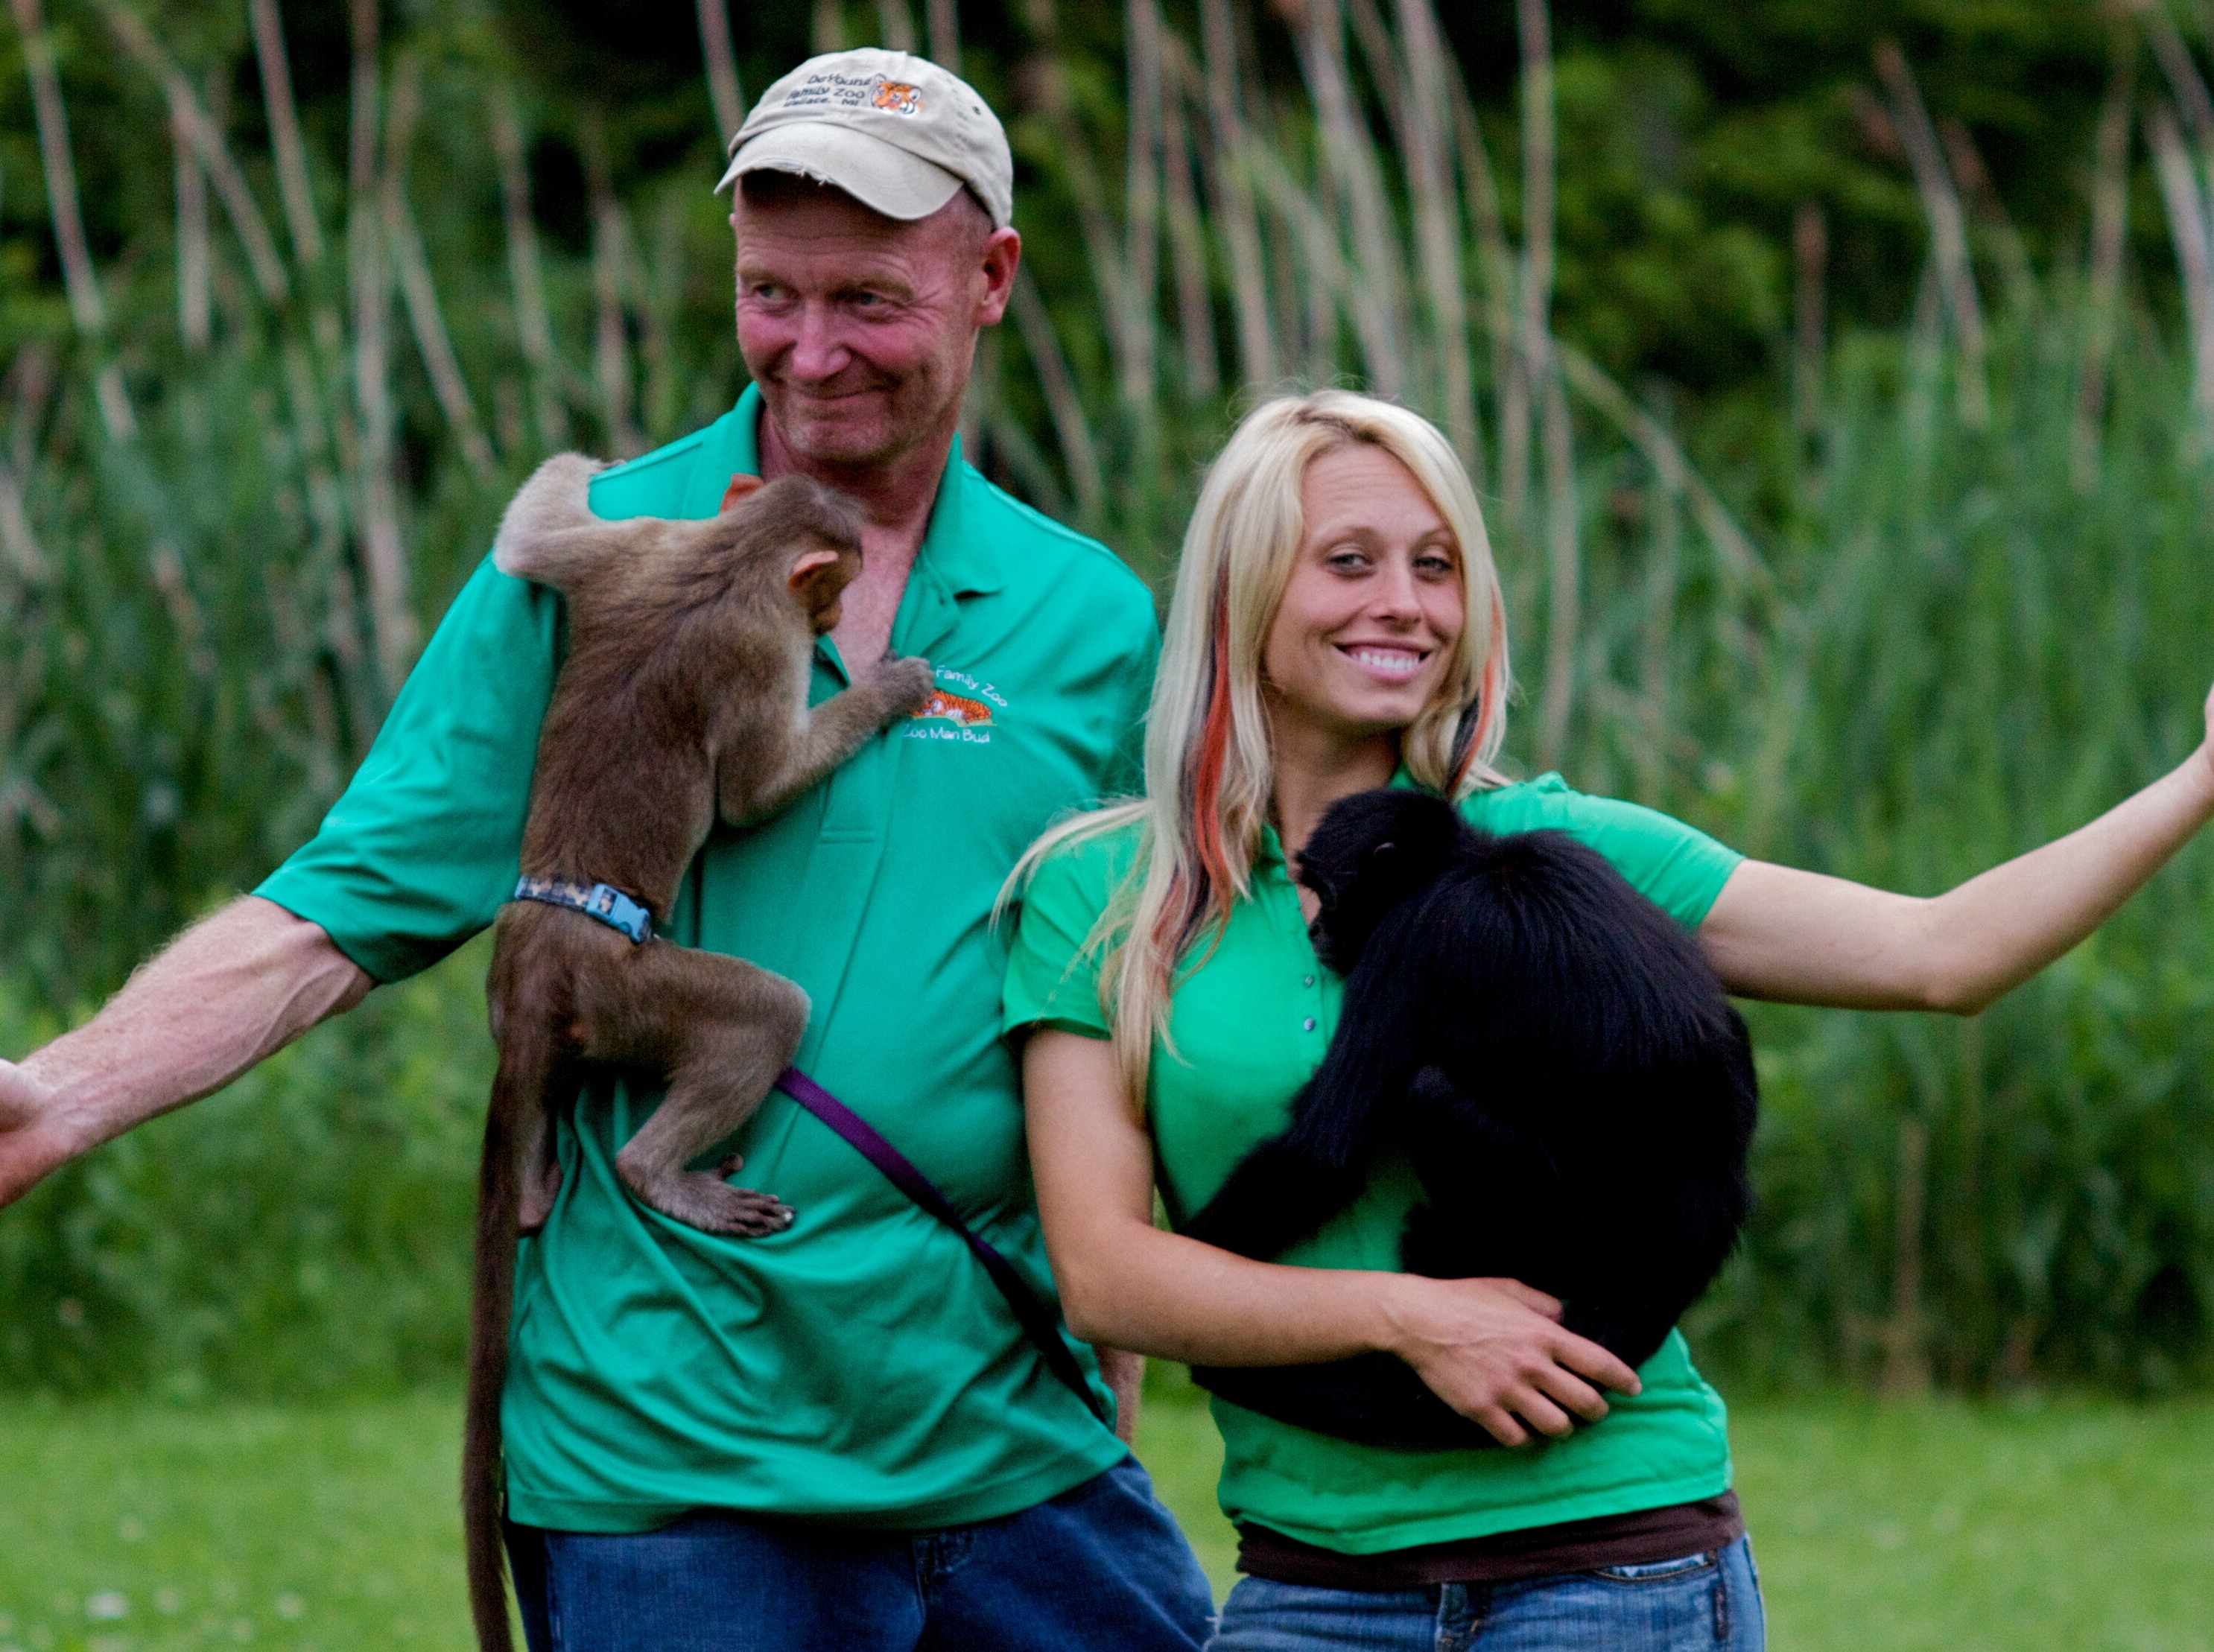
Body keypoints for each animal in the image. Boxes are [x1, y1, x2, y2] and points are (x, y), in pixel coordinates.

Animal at [462, 453, 936, 1652]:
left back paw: (533, 1182)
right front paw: (888, 690)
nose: (837, 617)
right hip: (637, 995)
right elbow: (756, 790)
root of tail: (546, 956)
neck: (734, 555)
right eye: (831, 586)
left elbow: (535, 541)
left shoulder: (642, 544)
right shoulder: (758, 643)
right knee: (765, 1015)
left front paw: (575, 466)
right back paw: (656, 1174)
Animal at [1178, 787, 1758, 1453]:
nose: (1316, 926)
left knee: (1429, 1092)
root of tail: (1711, 1175)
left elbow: (1322, 1155)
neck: (1469, 864)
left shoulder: (1412, 939)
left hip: (1572, 1223)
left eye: (1326, 891)